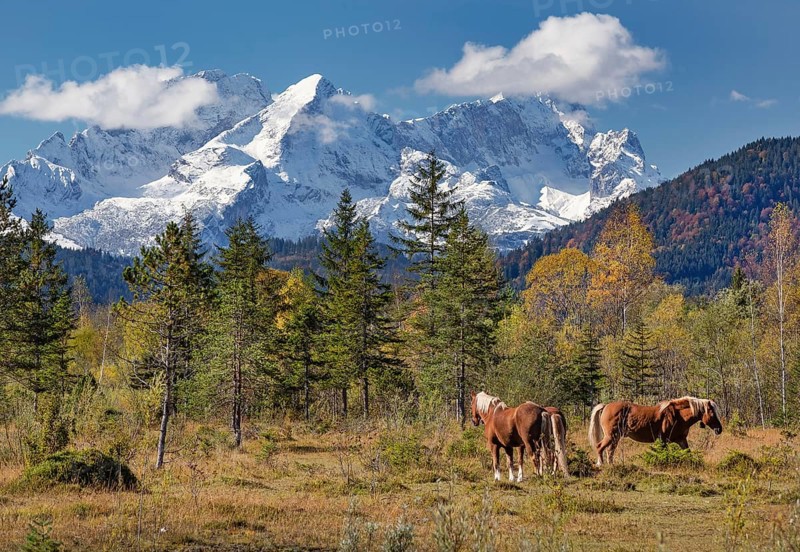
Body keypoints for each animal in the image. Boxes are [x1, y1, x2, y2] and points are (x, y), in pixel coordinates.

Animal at [588, 396, 723, 466]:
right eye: (712, 413)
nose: (719, 429)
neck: (678, 416)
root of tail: (606, 406)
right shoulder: (662, 440)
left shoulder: (681, 440)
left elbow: (687, 452)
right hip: (611, 436)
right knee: (600, 447)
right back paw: (601, 463)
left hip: (615, 437)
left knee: (610, 450)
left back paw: (611, 464)